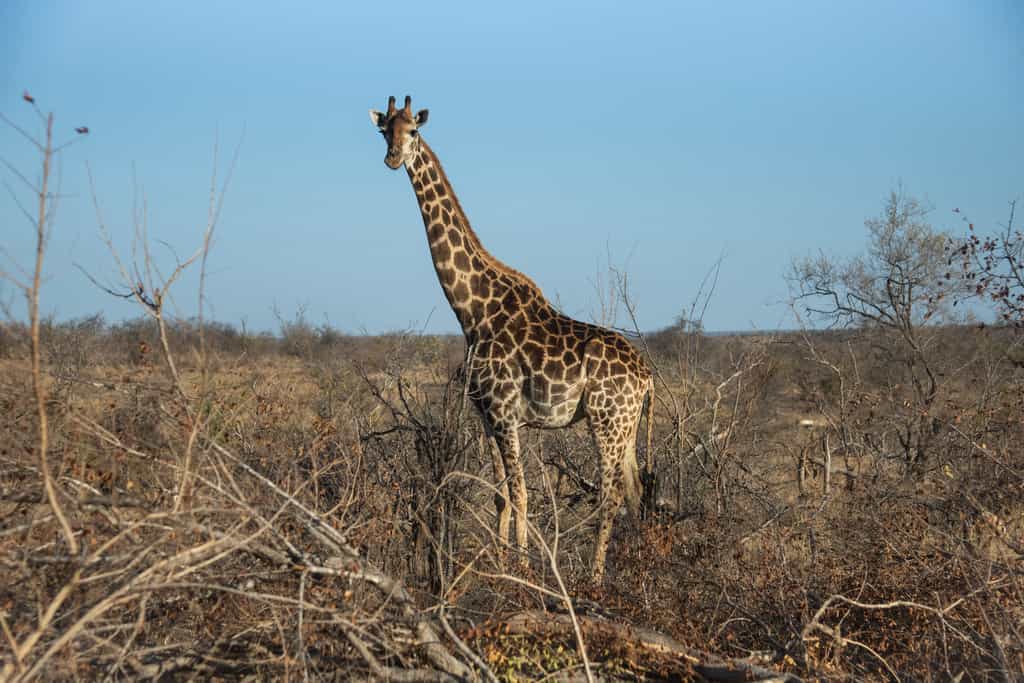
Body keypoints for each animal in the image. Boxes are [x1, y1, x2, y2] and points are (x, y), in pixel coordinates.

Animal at [369, 95, 654, 580]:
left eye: (413, 132)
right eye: (383, 130)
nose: (392, 159)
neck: (472, 311)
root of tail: (647, 377)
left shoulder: (505, 412)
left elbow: (520, 492)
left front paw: (520, 569)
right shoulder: (486, 414)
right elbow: (501, 494)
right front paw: (500, 562)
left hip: (606, 419)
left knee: (611, 491)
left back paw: (594, 578)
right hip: (627, 425)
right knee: (634, 490)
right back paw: (639, 567)